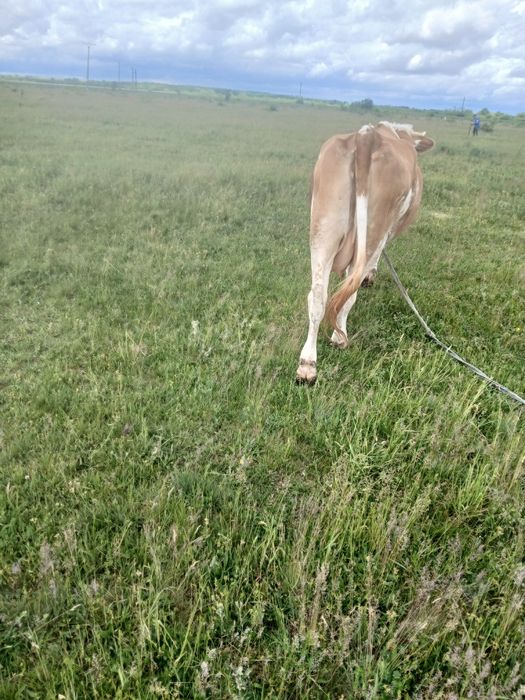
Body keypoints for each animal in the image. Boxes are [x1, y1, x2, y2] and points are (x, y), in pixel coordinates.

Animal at [296, 121, 434, 384]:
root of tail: (367, 135)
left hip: (323, 229)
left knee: (318, 297)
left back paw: (307, 364)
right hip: (371, 233)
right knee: (350, 292)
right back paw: (339, 337)